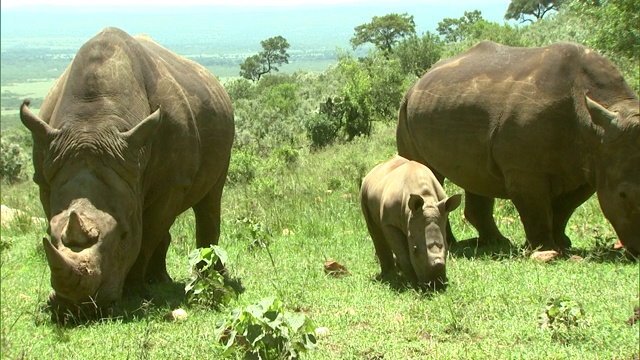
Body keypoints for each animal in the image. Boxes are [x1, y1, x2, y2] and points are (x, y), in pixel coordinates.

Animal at [20, 27, 235, 312]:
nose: (78, 307)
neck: (92, 124)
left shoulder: (171, 183)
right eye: (48, 234)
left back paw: (209, 277)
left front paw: (135, 293)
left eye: (123, 235)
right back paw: (160, 280)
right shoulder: (47, 177)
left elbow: (145, 236)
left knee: (210, 199)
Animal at [360, 155, 460, 290]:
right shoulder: (390, 223)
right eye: (415, 250)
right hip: (364, 193)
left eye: (447, 246)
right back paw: (389, 276)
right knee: (374, 230)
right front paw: (413, 284)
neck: (427, 199)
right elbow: (403, 254)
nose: (435, 285)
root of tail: (374, 170)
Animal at [398, 40, 636, 253]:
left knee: (475, 174)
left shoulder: (588, 166)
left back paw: (495, 242)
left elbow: (565, 208)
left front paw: (563, 243)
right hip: (406, 110)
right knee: (427, 171)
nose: (636, 252)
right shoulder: (524, 169)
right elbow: (535, 207)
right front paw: (544, 248)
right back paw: (454, 244)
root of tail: (416, 83)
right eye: (623, 195)